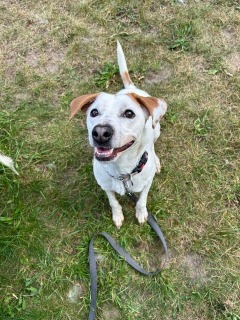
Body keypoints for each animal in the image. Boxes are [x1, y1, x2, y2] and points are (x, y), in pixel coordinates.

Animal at [70, 41, 167, 229]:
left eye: (129, 113)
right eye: (94, 112)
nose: (101, 133)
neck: (121, 171)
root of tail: (131, 88)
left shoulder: (147, 183)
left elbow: (142, 200)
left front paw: (141, 213)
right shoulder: (105, 185)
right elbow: (113, 202)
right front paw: (117, 215)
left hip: (156, 128)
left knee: (152, 145)